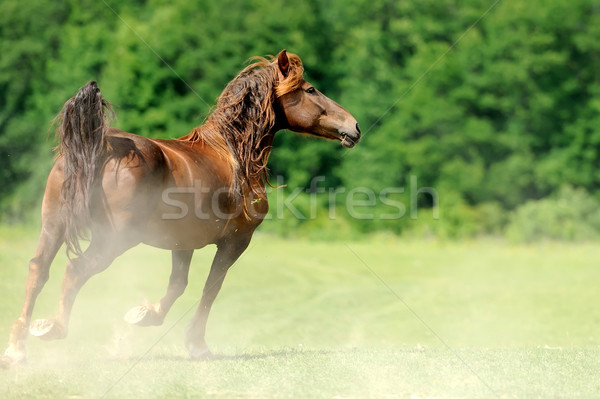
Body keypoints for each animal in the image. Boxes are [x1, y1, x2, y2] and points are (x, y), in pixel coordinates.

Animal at [1, 48, 360, 368]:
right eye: (310, 89)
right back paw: (53, 328)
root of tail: (102, 145)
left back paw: (17, 350)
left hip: (54, 226)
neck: (232, 154)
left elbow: (178, 284)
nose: (354, 126)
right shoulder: (235, 242)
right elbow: (210, 288)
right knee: (76, 270)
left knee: (38, 271)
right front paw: (197, 345)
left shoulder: (182, 242)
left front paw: (144, 315)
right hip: (114, 239)